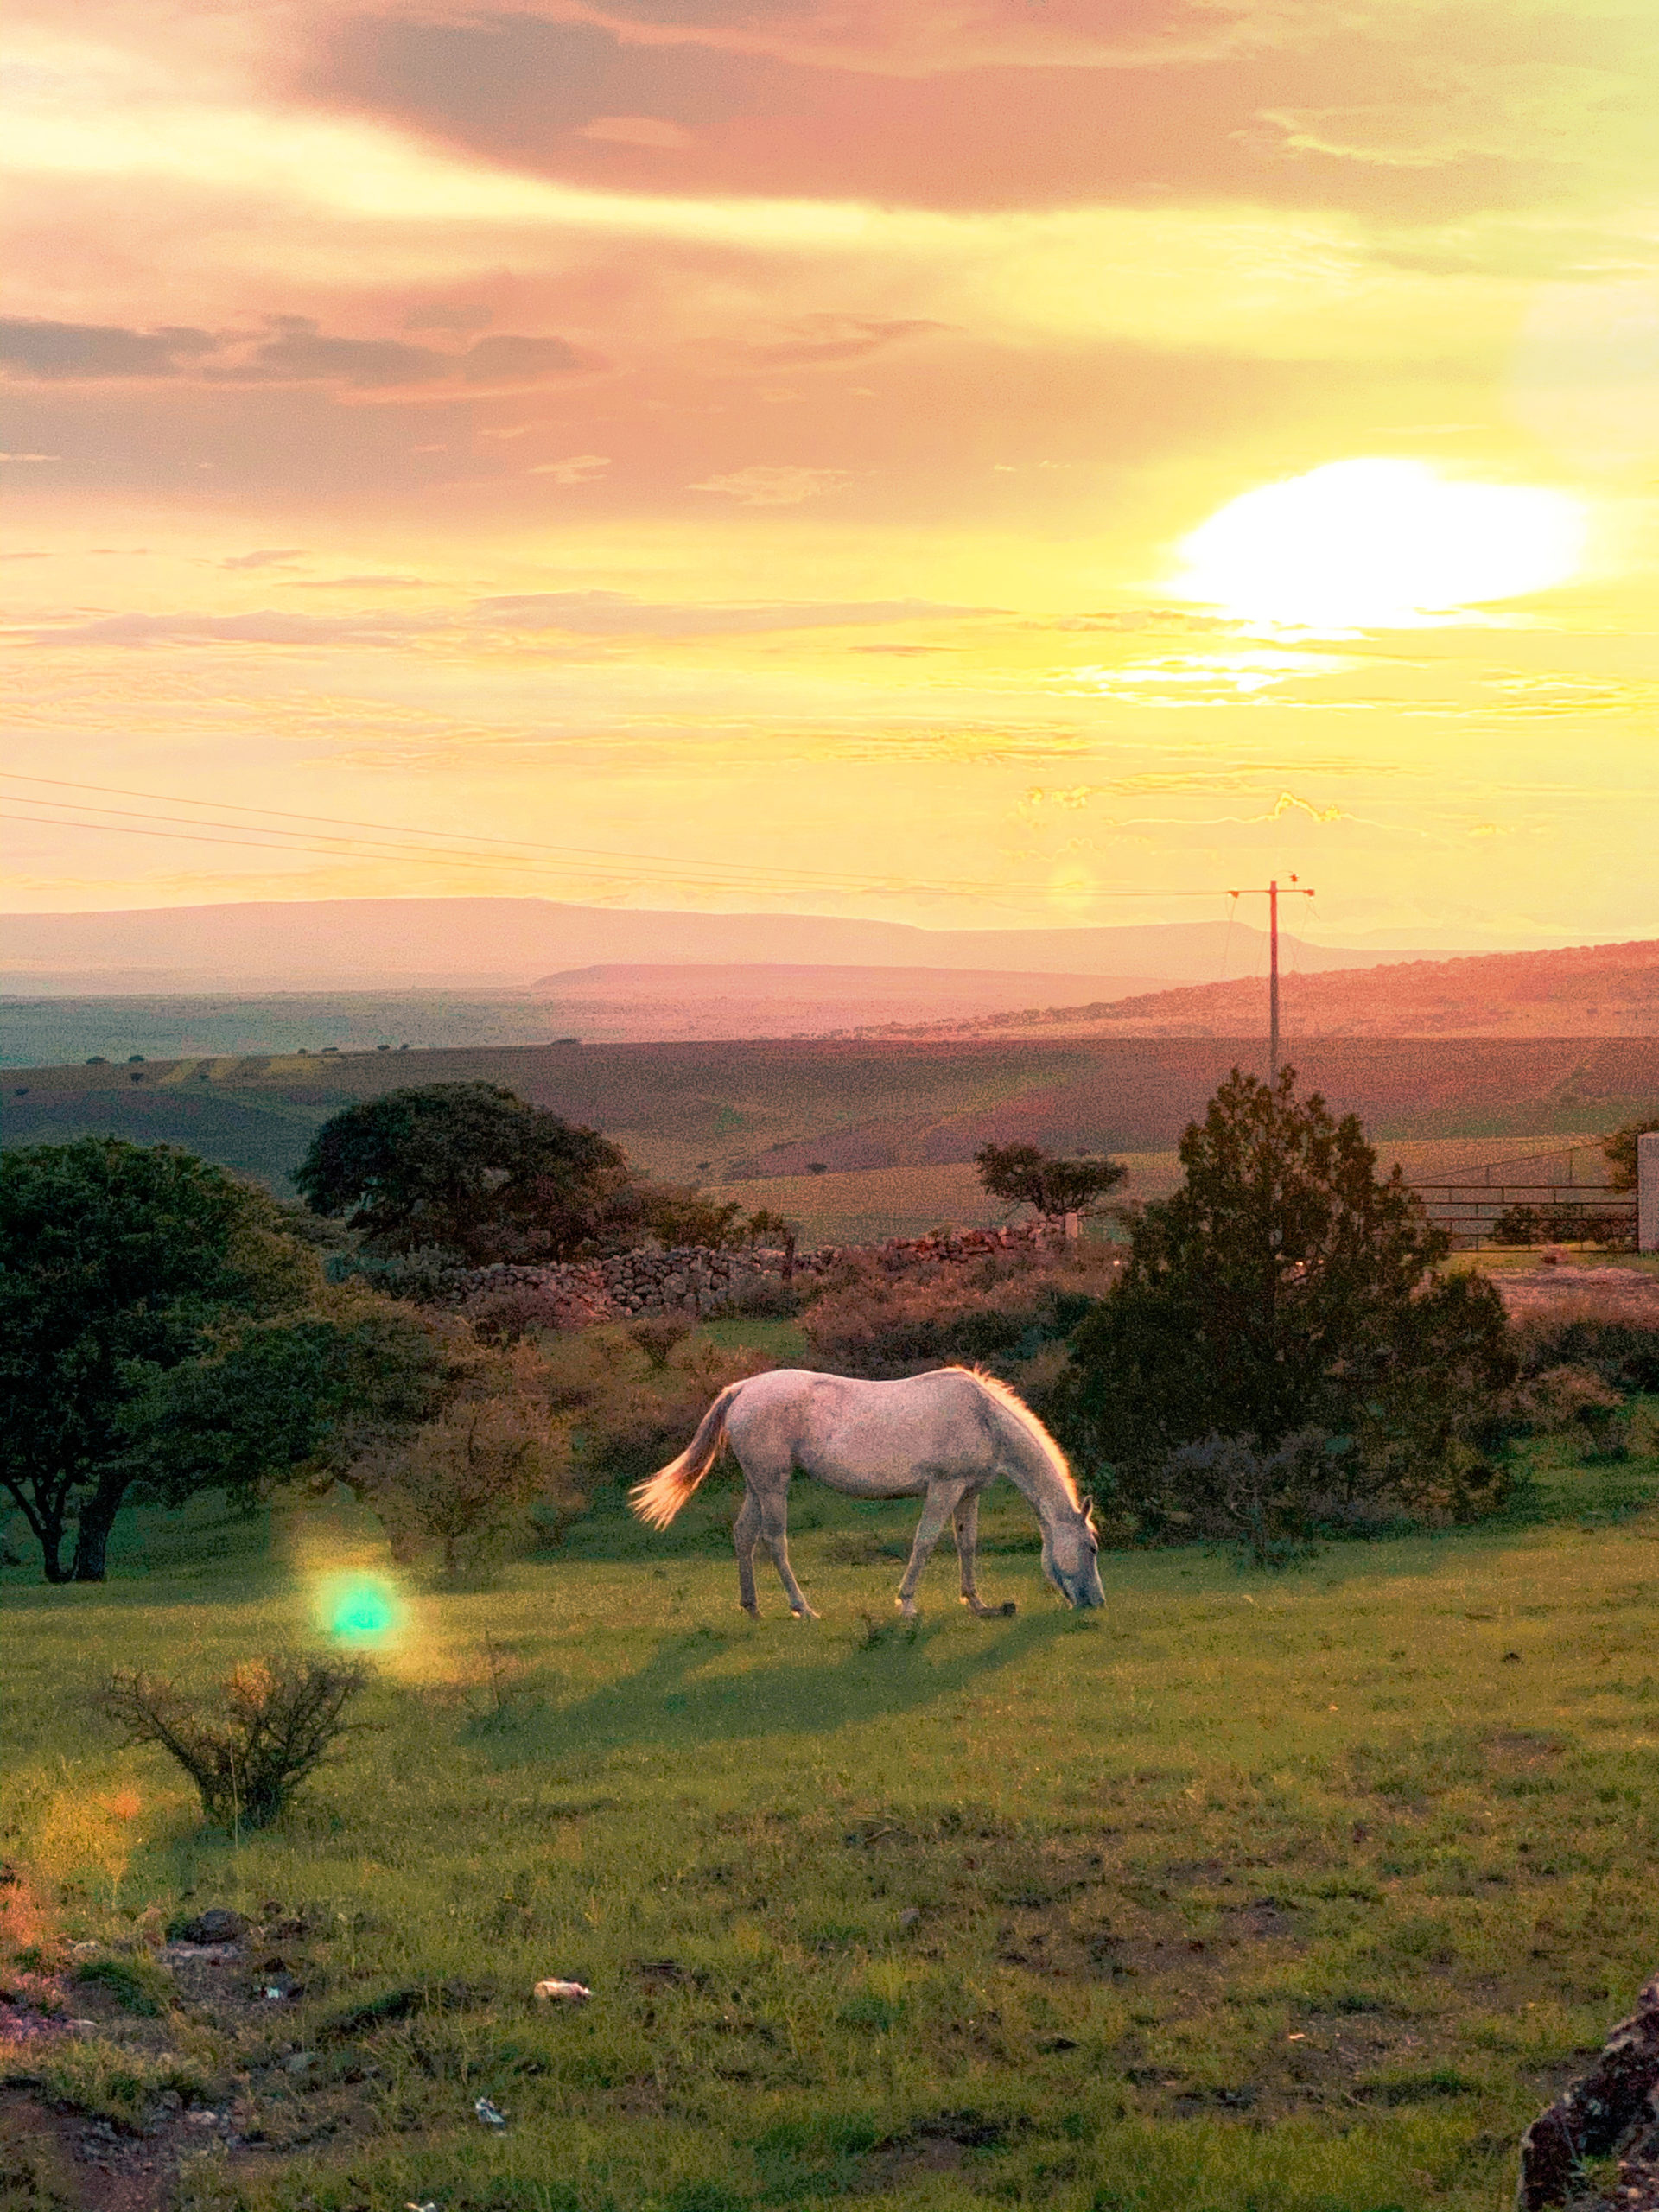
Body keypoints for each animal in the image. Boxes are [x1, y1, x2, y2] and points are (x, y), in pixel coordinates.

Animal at [632, 1353, 1106, 1618]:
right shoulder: (944, 1487)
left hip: (757, 1483)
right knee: (773, 1540)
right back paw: (802, 1608)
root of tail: (743, 1388)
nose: (1096, 1603)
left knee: (743, 1535)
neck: (983, 1416)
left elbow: (966, 1544)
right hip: (772, 1484)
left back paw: (752, 1608)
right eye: (1092, 1547)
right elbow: (925, 1541)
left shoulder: (968, 1491)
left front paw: (978, 1604)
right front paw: (908, 1604)